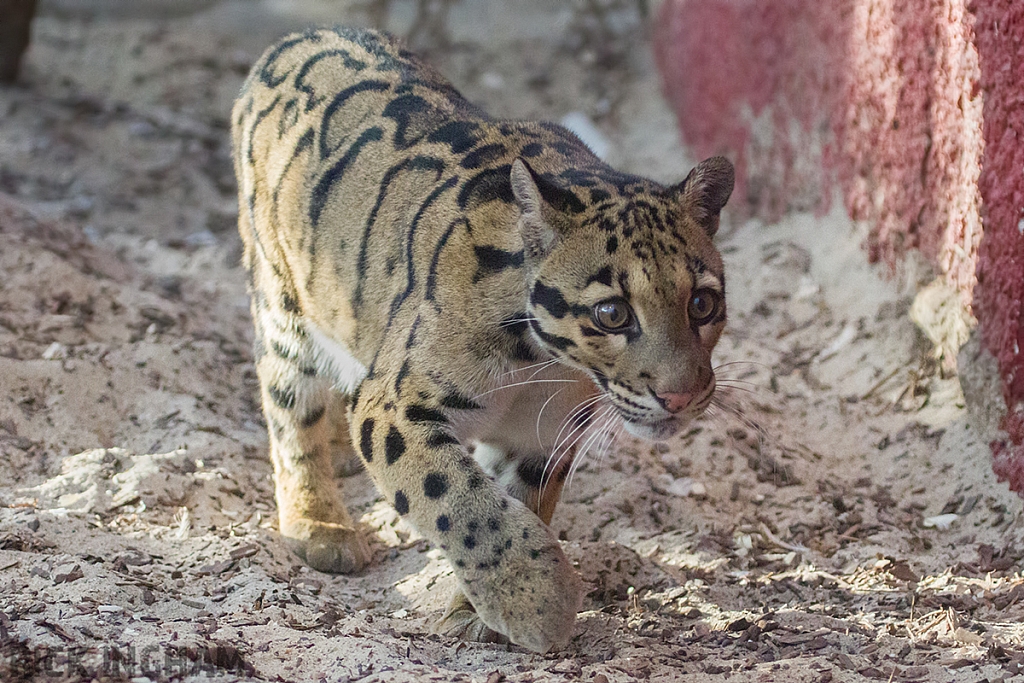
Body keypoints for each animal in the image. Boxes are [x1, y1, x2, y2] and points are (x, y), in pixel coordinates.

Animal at [234, 26, 729, 655]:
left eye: (702, 304)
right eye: (612, 313)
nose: (681, 396)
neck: (545, 363)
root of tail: (303, 34)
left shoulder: (543, 438)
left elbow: (515, 503)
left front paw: (479, 610)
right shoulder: (394, 404)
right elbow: (458, 499)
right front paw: (537, 599)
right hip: (282, 303)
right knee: (289, 415)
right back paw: (320, 522)